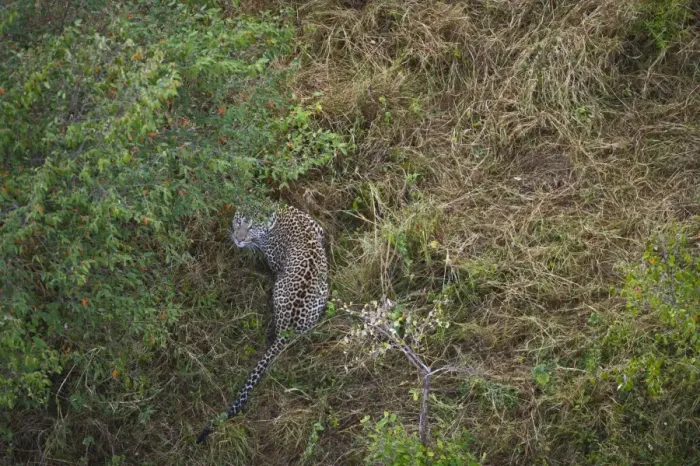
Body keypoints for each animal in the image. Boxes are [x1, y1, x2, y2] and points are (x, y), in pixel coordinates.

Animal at [196, 204, 328, 444]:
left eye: (250, 227)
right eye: (239, 222)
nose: (239, 240)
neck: (278, 213)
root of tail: (289, 328)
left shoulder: (275, 259)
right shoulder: (317, 228)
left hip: (279, 287)